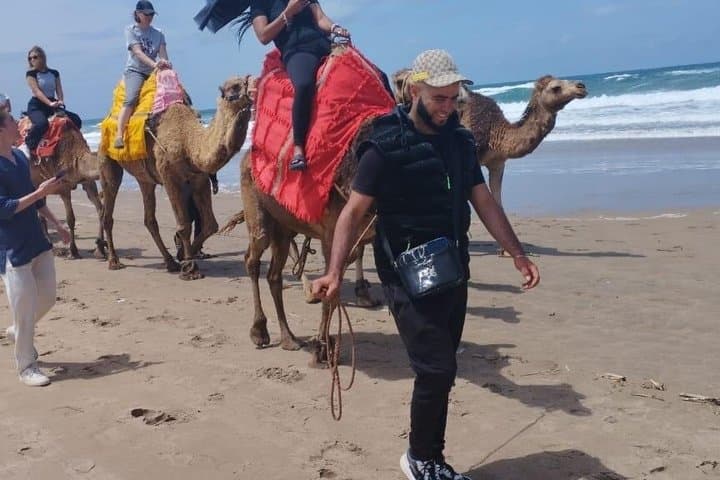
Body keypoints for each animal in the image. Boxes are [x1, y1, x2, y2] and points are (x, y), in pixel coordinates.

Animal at [26, 116, 104, 259]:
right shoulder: (63, 186)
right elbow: (70, 219)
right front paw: (73, 251)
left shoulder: (87, 181)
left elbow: (100, 210)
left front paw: (100, 249)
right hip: (34, 183)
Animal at [98, 76, 254, 280]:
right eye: (234, 86)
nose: (254, 86)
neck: (188, 141)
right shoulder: (170, 178)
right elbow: (184, 224)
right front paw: (190, 268)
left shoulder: (199, 179)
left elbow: (210, 224)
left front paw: (182, 255)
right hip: (108, 161)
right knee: (108, 210)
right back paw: (114, 261)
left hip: (145, 178)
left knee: (149, 217)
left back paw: (170, 262)